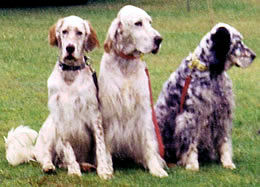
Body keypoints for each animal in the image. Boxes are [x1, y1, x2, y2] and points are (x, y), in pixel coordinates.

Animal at [4, 15, 111, 179]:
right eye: (64, 31)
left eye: (79, 32)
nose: (70, 48)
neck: (70, 74)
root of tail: (34, 150)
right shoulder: (60, 117)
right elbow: (68, 150)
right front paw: (74, 171)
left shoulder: (94, 115)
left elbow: (100, 147)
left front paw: (104, 170)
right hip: (49, 132)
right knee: (49, 158)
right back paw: (50, 167)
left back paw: (85, 166)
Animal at [98, 4, 169, 177]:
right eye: (138, 23)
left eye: (150, 22)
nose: (159, 39)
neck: (125, 64)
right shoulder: (108, 112)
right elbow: (106, 143)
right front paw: (107, 167)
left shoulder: (144, 110)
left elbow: (149, 142)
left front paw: (155, 168)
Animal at [154, 22, 256, 170]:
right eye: (238, 43)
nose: (254, 55)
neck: (211, 71)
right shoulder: (191, 116)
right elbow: (190, 143)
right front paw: (192, 164)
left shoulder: (222, 113)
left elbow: (224, 141)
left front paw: (227, 162)